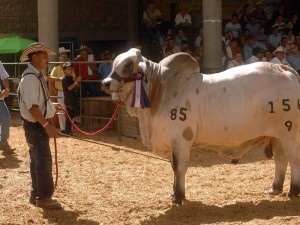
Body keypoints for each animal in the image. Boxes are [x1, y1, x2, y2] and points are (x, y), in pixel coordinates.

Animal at [101, 48, 300, 205]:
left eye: (127, 65)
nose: (105, 83)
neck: (160, 91)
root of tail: (284, 68)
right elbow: (174, 168)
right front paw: (175, 194)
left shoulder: (181, 140)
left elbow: (179, 167)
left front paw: (178, 198)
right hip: (278, 136)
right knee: (280, 160)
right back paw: (275, 189)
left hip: (290, 133)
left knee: (293, 159)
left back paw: (293, 191)